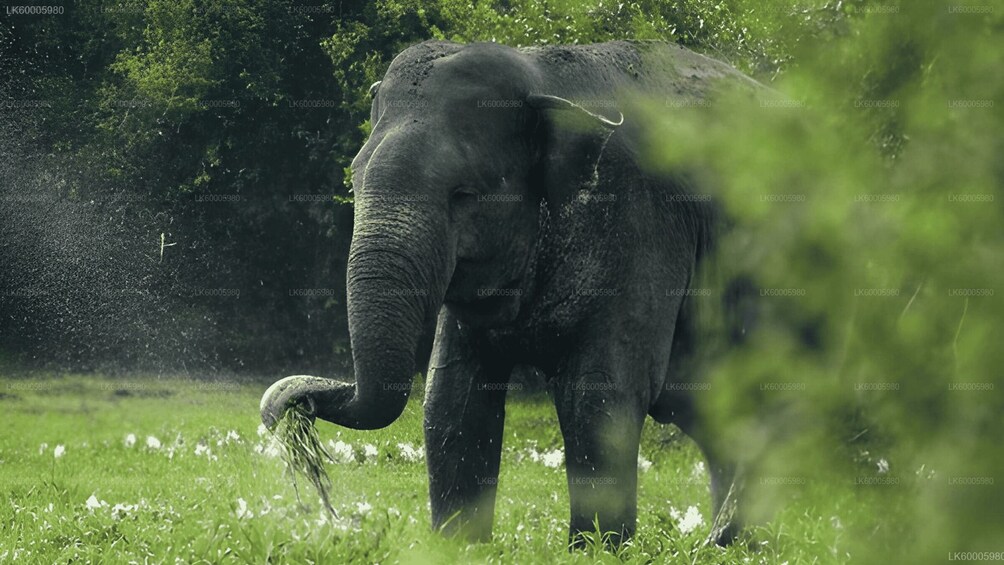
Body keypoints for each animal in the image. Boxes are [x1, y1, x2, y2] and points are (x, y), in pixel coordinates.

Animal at [261, 39, 767, 549]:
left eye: (463, 193)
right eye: (355, 177)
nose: (293, 407)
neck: (540, 73)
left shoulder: (643, 229)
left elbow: (599, 394)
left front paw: (596, 548)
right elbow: (452, 396)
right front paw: (458, 544)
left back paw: (724, 541)